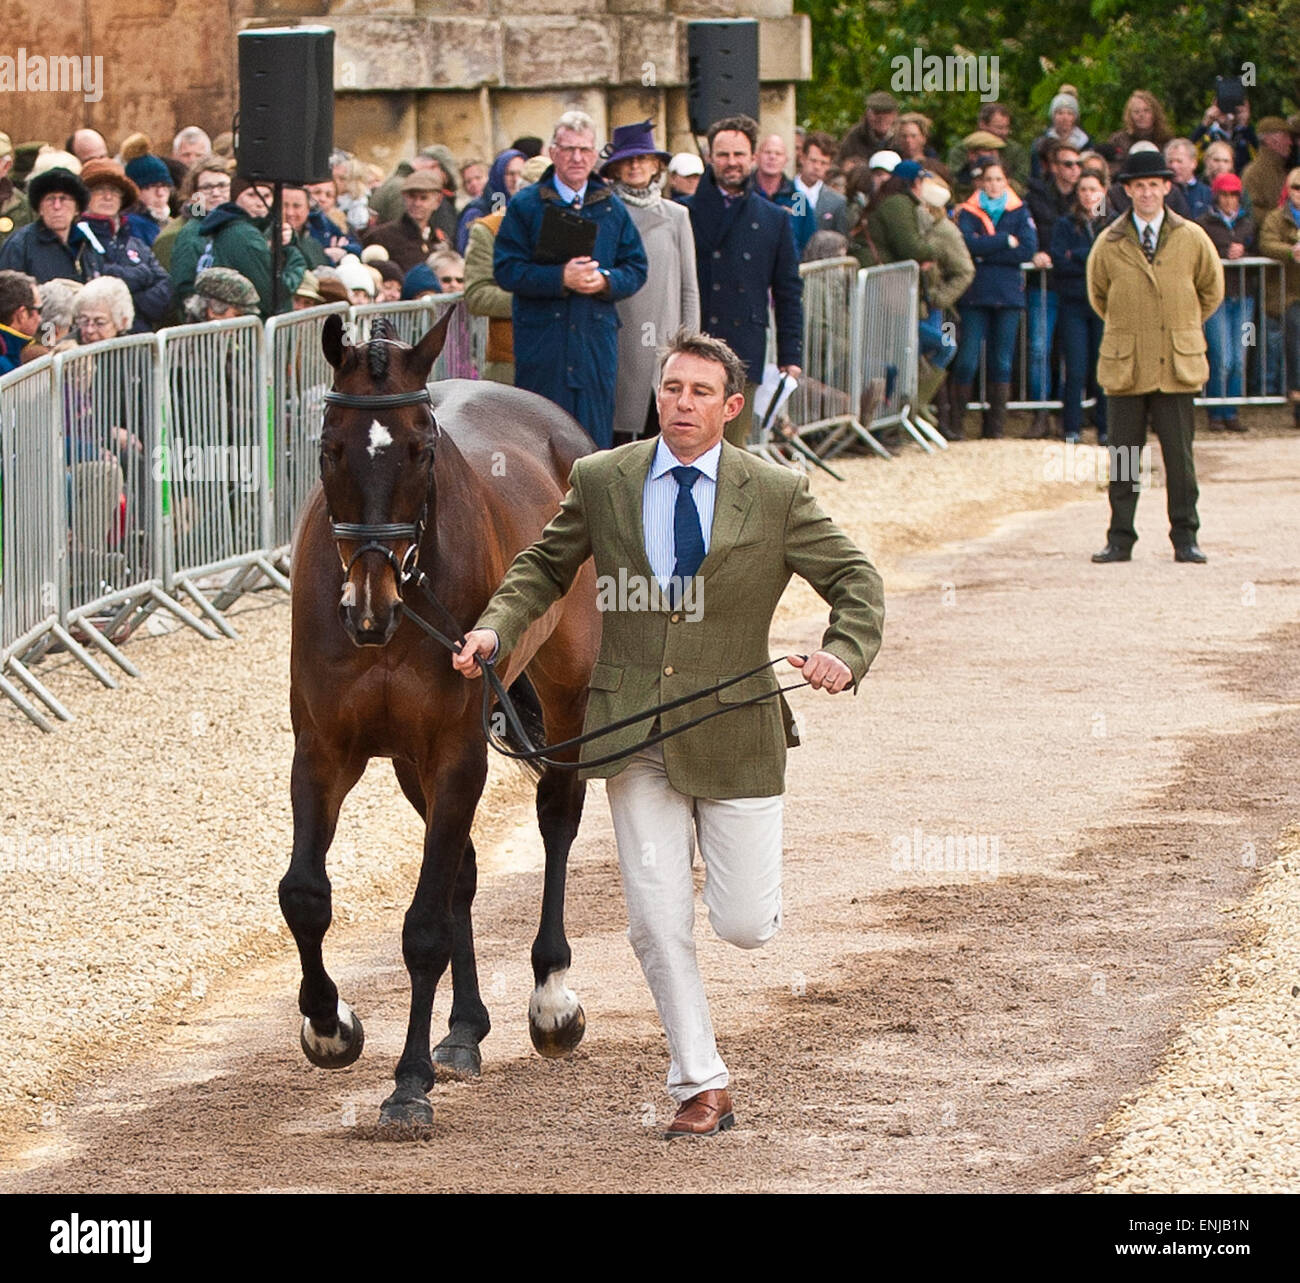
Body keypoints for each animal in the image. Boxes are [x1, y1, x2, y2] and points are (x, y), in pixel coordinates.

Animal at [280, 310, 599, 1129]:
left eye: (422, 449)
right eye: (328, 448)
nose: (368, 606)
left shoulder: (458, 753)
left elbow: (422, 926)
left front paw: (408, 1082)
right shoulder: (326, 752)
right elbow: (305, 895)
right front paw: (329, 1025)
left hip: (566, 692)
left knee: (558, 816)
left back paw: (551, 997)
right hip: (409, 764)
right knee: (462, 872)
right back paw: (464, 1029)